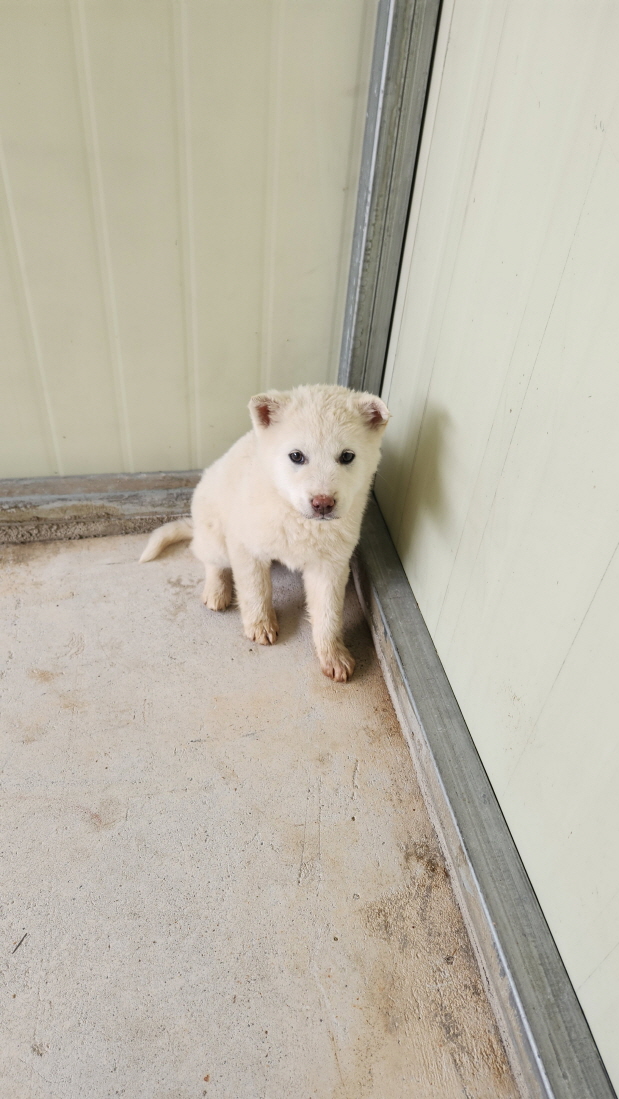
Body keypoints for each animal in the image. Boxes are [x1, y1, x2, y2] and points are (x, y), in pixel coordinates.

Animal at [141, 384, 389, 676]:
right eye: (296, 456)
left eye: (347, 456)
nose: (323, 504)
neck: (295, 514)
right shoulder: (246, 548)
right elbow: (255, 589)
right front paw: (260, 625)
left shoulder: (330, 565)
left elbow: (329, 613)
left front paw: (334, 655)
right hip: (215, 536)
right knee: (211, 561)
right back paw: (217, 591)